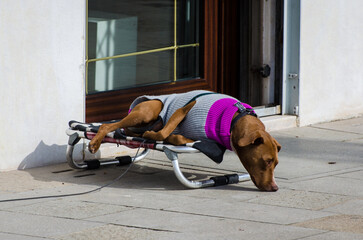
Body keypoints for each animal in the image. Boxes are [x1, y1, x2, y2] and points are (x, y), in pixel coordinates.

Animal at [88, 91, 282, 192]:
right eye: (267, 161)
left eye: (276, 163)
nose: (275, 187)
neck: (234, 119)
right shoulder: (182, 110)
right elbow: (164, 133)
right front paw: (164, 136)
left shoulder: (212, 142)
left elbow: (172, 136)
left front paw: (173, 138)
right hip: (148, 111)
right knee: (107, 125)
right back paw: (95, 142)